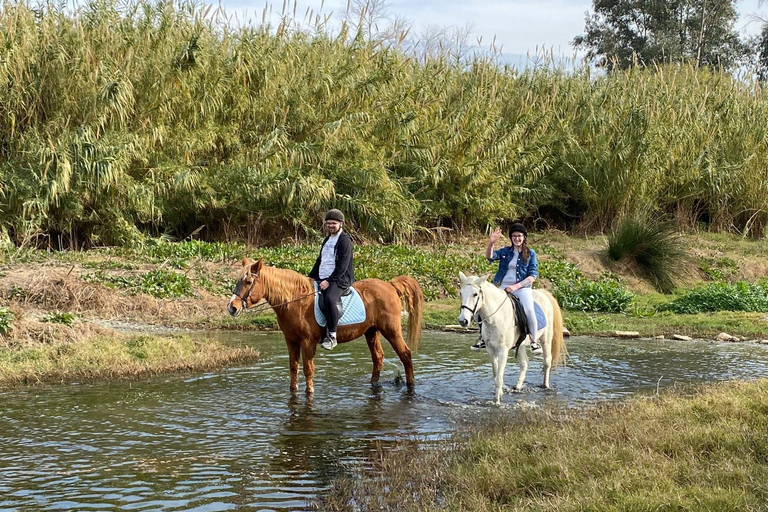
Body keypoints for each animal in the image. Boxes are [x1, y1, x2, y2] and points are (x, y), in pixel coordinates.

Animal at [226, 258, 426, 394]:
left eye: (249, 282)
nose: (232, 307)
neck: (296, 301)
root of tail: (390, 285)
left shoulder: (308, 342)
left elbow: (308, 369)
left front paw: (310, 392)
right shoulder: (291, 340)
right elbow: (293, 367)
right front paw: (293, 390)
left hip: (391, 330)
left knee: (405, 355)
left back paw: (411, 385)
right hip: (371, 331)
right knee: (378, 357)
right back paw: (373, 384)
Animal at [456, 270, 564, 406]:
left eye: (475, 294)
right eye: (461, 293)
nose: (463, 321)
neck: (495, 318)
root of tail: (543, 293)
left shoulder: (503, 351)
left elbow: (498, 378)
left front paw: (497, 402)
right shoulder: (490, 350)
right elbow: (495, 375)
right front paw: (500, 393)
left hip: (546, 339)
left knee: (547, 362)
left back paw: (545, 385)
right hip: (521, 344)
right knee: (524, 364)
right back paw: (518, 387)